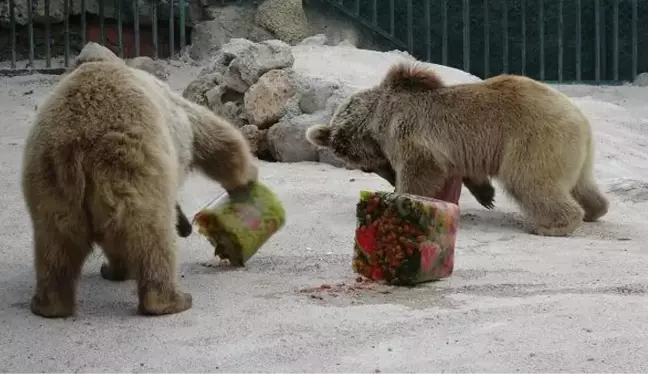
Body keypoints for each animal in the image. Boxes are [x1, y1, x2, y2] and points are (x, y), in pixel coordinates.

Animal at [20, 42, 258, 318]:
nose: (186, 227)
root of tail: (78, 147)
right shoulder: (175, 109)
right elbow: (213, 134)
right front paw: (245, 179)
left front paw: (111, 270)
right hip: (133, 169)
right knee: (151, 236)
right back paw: (172, 299)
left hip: (51, 184)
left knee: (55, 243)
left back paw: (49, 304)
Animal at [306, 61, 612, 237]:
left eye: (368, 167)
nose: (389, 177)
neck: (378, 116)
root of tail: (581, 119)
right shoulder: (462, 149)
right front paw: (485, 194)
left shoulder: (409, 132)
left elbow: (420, 169)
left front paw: (401, 197)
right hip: (573, 154)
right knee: (581, 185)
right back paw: (594, 209)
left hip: (534, 140)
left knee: (528, 181)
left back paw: (552, 225)